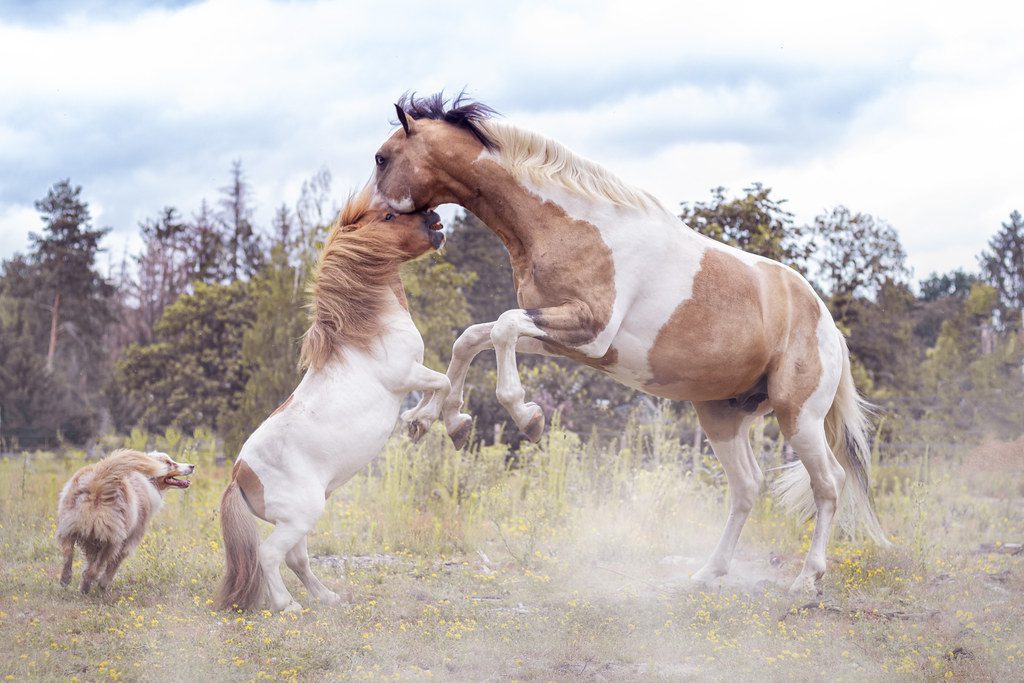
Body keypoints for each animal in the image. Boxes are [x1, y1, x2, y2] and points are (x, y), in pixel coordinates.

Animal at [215, 188, 449, 612]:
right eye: (389, 217)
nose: (434, 218)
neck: (368, 329)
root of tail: (240, 474)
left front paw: (419, 421)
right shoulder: (407, 374)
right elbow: (445, 382)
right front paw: (422, 423)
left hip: (300, 521)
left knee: (297, 558)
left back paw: (329, 597)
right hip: (299, 517)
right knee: (270, 555)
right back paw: (288, 606)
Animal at [372, 92, 888, 594]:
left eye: (381, 158)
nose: (376, 220)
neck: (578, 226)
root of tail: (829, 327)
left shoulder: (589, 329)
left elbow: (500, 329)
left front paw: (527, 417)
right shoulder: (567, 339)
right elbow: (474, 337)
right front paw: (437, 421)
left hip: (797, 415)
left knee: (829, 482)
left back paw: (806, 579)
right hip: (722, 416)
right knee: (747, 487)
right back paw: (707, 574)